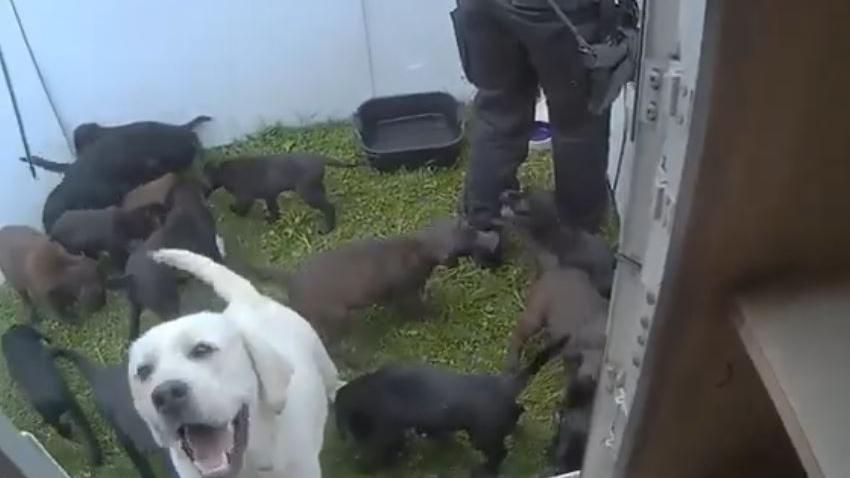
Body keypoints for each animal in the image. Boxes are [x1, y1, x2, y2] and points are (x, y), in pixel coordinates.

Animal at [205, 152, 362, 232]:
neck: (223, 172)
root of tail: (320, 158)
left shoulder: (245, 197)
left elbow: (241, 207)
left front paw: (234, 210)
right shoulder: (269, 195)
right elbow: (274, 208)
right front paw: (274, 219)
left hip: (307, 193)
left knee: (329, 207)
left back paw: (327, 229)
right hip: (316, 188)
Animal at [334, 338, 568, 476]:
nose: (353, 454)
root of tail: (504, 384)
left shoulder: (386, 432)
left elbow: (386, 449)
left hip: (482, 436)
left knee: (499, 454)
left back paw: (483, 471)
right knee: (518, 415)